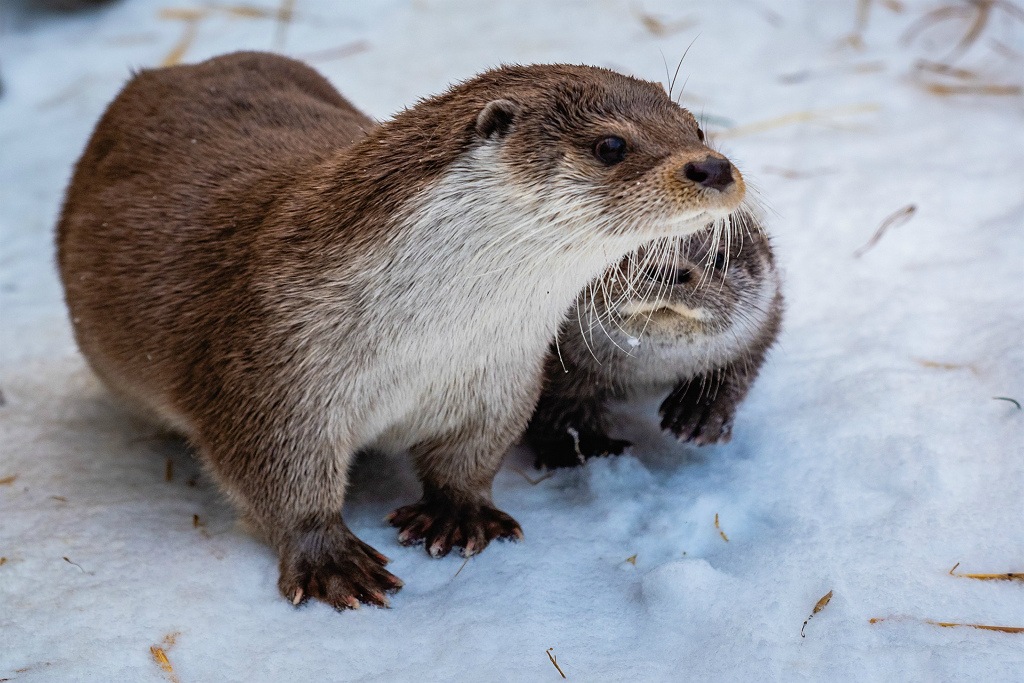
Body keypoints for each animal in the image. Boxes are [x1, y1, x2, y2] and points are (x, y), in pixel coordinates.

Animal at [56, 52, 745, 610]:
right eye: (610, 146)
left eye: (697, 128)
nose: (712, 167)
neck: (425, 339)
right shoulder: (271, 368)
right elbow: (277, 477)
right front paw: (329, 558)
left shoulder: (500, 376)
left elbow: (472, 455)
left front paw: (457, 513)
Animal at [528, 214, 782, 471]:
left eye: (719, 258)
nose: (670, 271)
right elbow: (564, 400)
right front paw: (580, 450)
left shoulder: (765, 322)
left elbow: (738, 367)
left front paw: (699, 412)